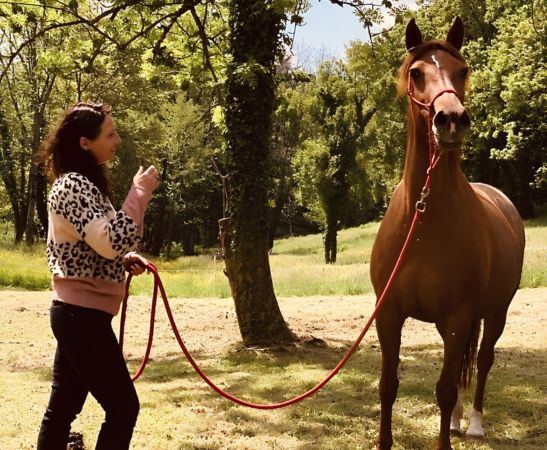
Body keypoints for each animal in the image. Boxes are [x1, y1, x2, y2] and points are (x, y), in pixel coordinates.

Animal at [370, 16, 524, 450]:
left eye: (463, 70)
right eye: (417, 73)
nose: (451, 119)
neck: (424, 221)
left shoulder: (460, 316)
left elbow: (444, 388)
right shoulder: (389, 314)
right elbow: (388, 386)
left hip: (495, 313)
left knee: (483, 362)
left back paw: (473, 422)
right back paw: (456, 420)